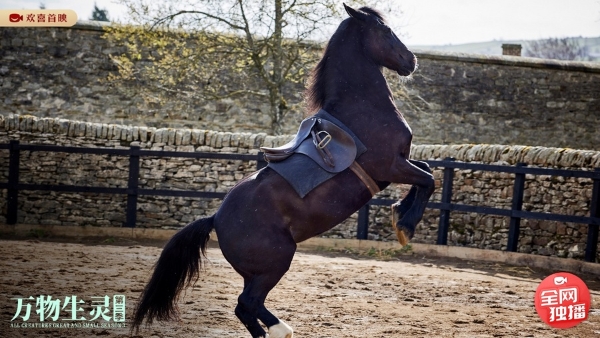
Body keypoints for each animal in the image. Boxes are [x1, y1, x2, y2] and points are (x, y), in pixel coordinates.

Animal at [132, 3, 432, 336]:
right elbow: (429, 180)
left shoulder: (397, 166)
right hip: (276, 261)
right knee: (247, 303)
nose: (411, 60)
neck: (362, 108)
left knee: (245, 307)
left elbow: (425, 171)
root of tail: (216, 219)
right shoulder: (391, 165)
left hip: (259, 271)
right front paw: (406, 226)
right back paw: (280, 328)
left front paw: (398, 213)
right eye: (385, 30)